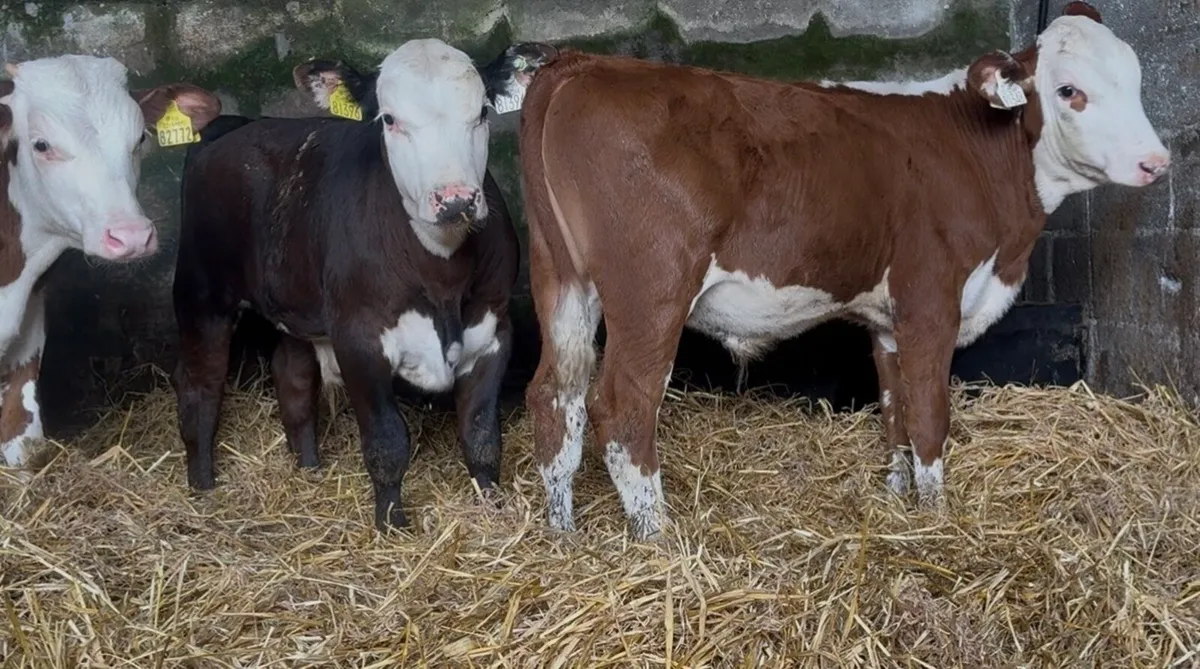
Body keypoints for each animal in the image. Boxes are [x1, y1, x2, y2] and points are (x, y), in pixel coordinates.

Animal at [172, 39, 556, 531]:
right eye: (389, 119)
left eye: (483, 113)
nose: (456, 199)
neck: (443, 276)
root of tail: (230, 125)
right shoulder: (357, 337)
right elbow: (387, 441)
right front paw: (391, 523)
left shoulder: (493, 329)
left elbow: (482, 434)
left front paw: (491, 506)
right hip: (201, 291)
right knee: (200, 386)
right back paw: (202, 488)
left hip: (296, 303)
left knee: (292, 377)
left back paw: (309, 469)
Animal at [517, 2, 1171, 540]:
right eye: (1069, 90)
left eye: (1137, 81)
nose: (1157, 162)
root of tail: (579, 64)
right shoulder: (930, 300)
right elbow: (929, 415)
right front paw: (937, 520)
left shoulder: (888, 319)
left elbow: (895, 411)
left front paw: (898, 499)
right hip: (652, 288)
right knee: (622, 408)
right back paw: (658, 539)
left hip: (562, 280)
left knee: (555, 398)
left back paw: (562, 535)